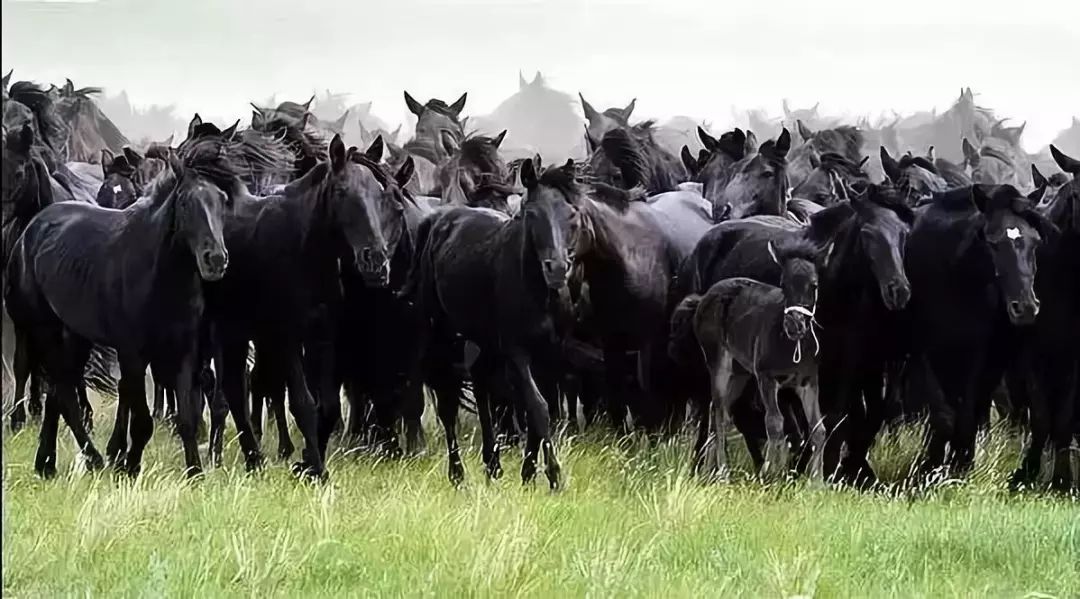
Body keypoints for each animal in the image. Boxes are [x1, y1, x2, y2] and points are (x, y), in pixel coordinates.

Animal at [5, 135, 234, 479]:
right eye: (185, 203)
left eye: (222, 200)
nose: (215, 260)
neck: (159, 275)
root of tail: (32, 228)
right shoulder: (133, 353)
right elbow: (142, 420)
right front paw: (128, 466)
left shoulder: (184, 350)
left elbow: (187, 417)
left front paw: (194, 471)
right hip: (44, 329)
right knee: (62, 392)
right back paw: (92, 459)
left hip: (75, 336)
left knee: (59, 393)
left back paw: (47, 463)